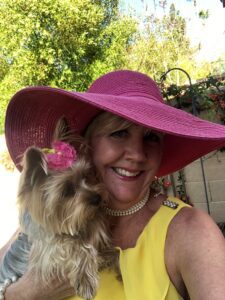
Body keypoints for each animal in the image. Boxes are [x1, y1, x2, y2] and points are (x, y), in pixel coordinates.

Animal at [0, 119, 119, 298]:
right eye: (67, 190)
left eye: (86, 175)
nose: (97, 198)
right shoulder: (45, 251)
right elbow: (72, 244)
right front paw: (85, 279)